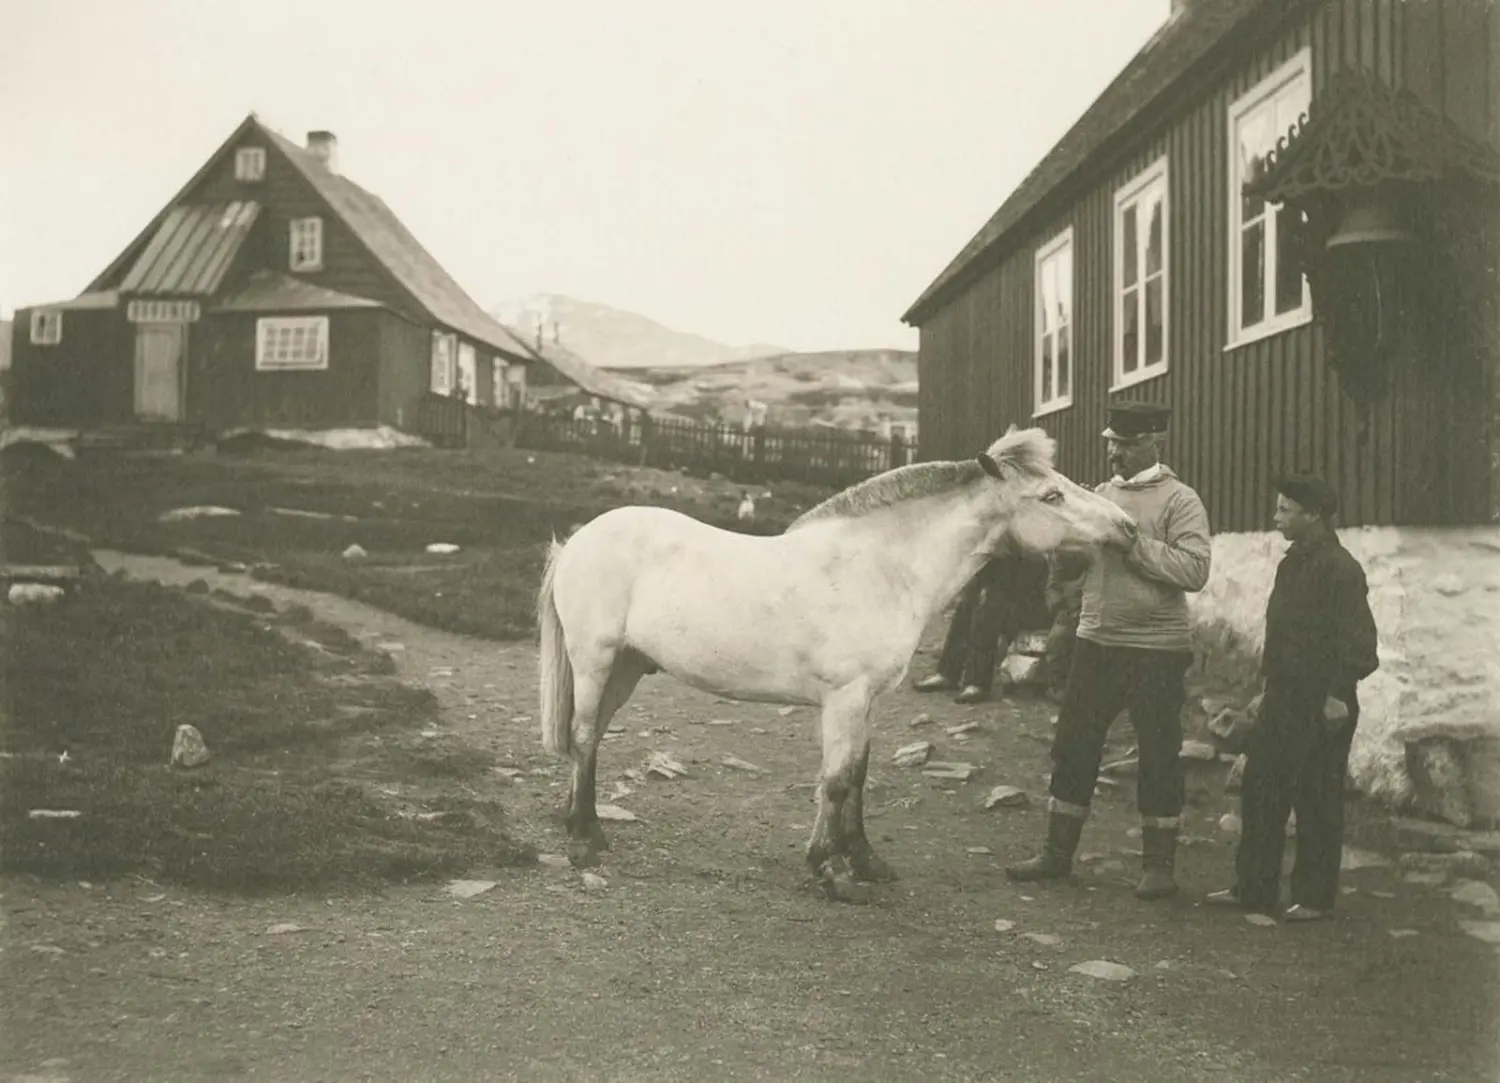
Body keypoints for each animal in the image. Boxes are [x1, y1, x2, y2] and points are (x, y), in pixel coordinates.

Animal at [535, 426, 1136, 901]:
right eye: (1051, 494)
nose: (1128, 527)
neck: (879, 568)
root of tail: (578, 540)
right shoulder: (844, 698)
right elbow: (837, 781)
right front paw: (829, 870)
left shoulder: (867, 701)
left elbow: (860, 777)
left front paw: (865, 861)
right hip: (595, 661)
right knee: (584, 735)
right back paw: (586, 839)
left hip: (628, 668)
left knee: (591, 738)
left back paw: (577, 820)